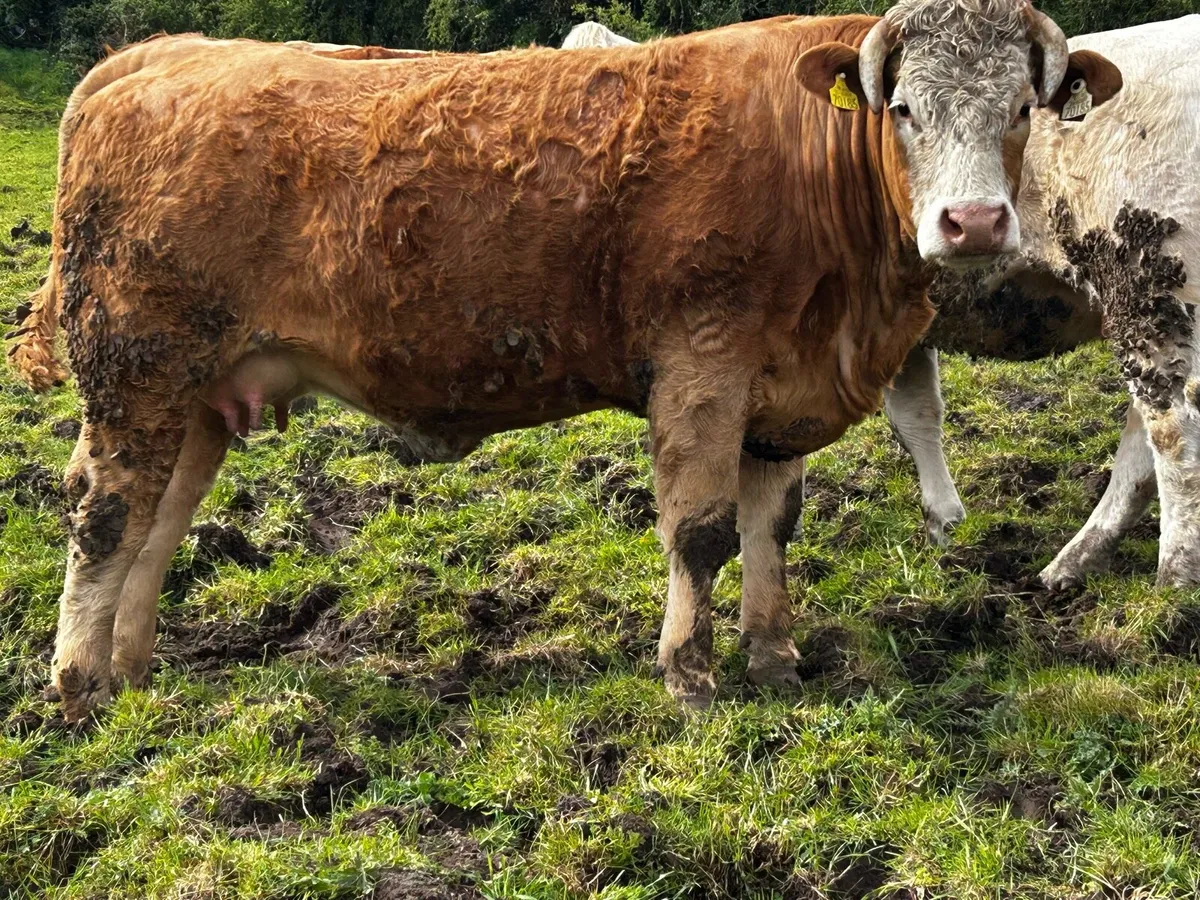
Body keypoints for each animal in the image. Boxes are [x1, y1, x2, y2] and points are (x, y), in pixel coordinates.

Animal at [7, 2, 1111, 721]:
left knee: (160, 519)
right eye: (902, 107)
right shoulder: (702, 363)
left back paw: (130, 670)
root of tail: (159, 56)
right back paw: (76, 685)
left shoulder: (777, 390)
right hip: (137, 368)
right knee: (106, 514)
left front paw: (773, 654)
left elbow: (772, 528)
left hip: (195, 388)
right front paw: (690, 674)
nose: (973, 222)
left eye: (1023, 107)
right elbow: (701, 530)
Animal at [881, 14, 1200, 589]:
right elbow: (917, 415)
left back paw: (1174, 583)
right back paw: (1071, 565)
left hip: (1150, 292)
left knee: (1173, 431)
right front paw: (947, 530)